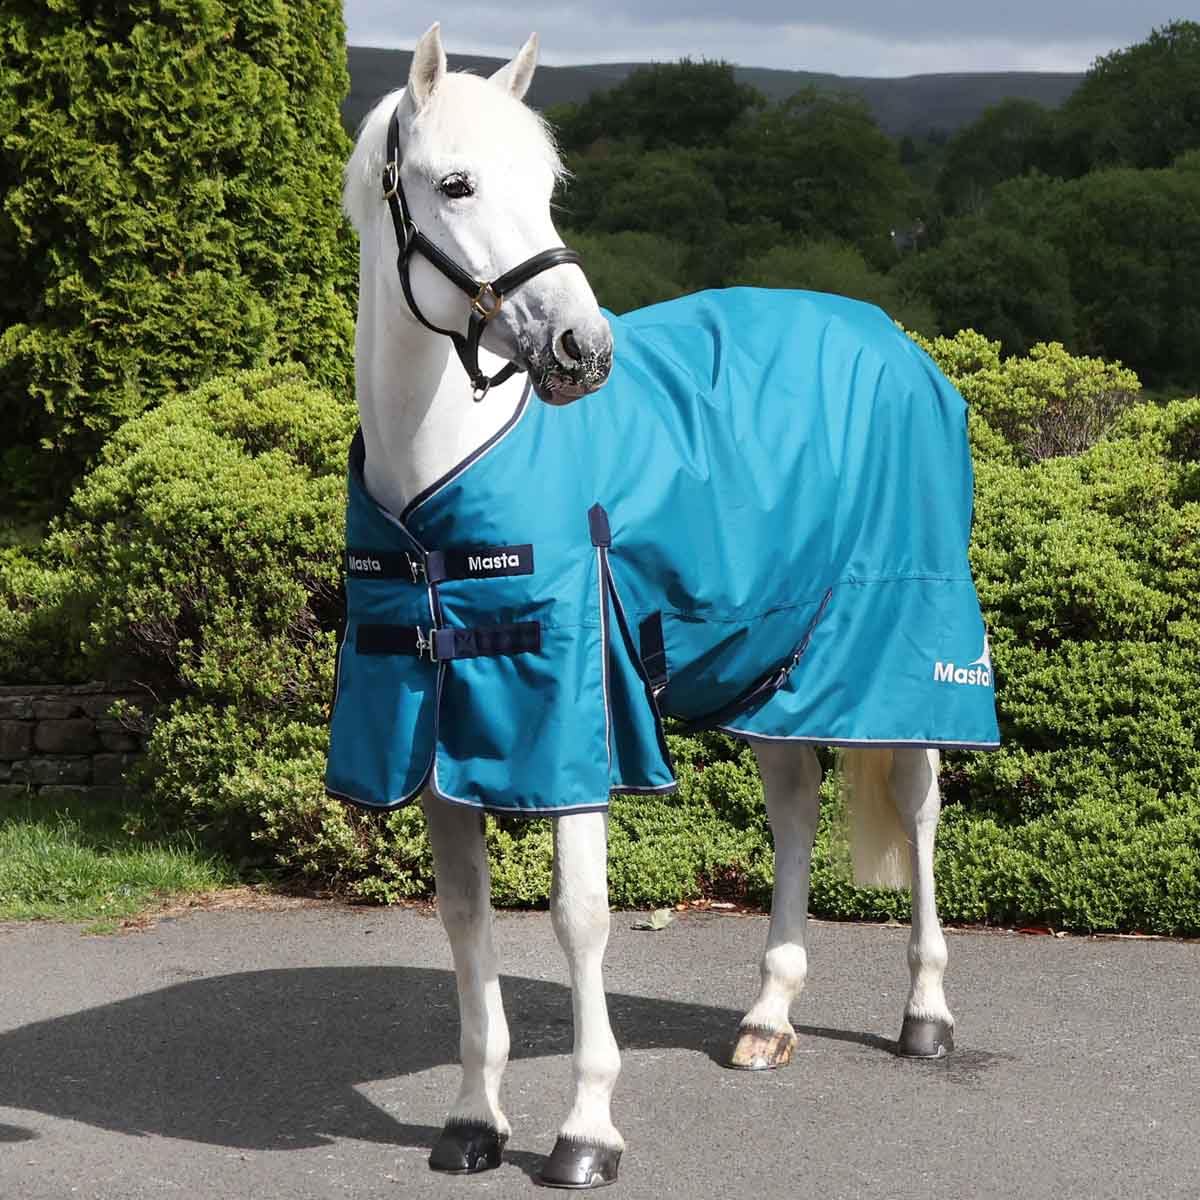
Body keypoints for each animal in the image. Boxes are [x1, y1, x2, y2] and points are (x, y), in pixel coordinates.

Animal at [331, 23, 998, 1189]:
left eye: (547, 184)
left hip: (894, 650)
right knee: (794, 802)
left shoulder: (569, 722)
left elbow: (581, 917)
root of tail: (897, 342)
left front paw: (585, 1133)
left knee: (918, 808)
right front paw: (471, 1121)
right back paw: (769, 1016)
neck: (438, 482)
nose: (581, 350)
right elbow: (466, 919)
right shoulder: (440, 732)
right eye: (454, 183)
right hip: (770, 662)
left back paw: (925, 1013)